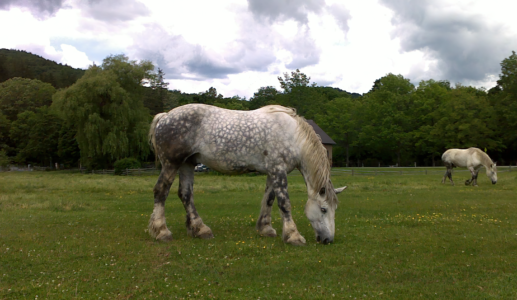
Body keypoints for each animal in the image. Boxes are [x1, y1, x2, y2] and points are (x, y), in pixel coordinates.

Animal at [147, 104, 344, 245]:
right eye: (324, 209)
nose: (328, 240)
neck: (292, 134)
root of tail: (165, 116)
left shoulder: (272, 172)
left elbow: (269, 199)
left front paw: (265, 229)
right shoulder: (278, 170)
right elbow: (284, 203)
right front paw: (293, 236)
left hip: (187, 164)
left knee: (186, 195)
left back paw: (200, 229)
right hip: (171, 164)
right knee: (161, 191)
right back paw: (162, 232)